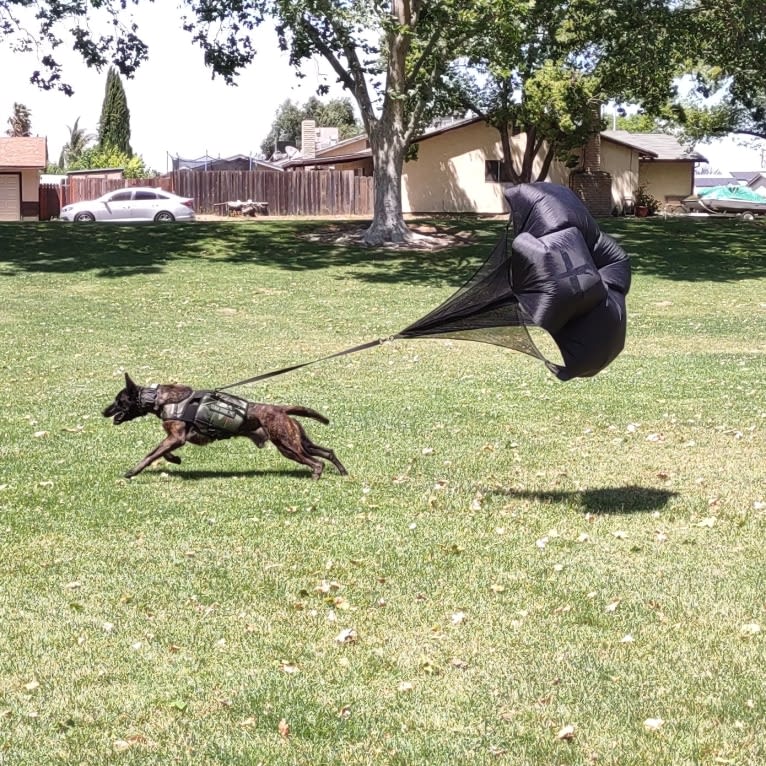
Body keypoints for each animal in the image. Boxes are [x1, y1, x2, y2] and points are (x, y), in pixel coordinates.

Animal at [102, 372, 348, 480]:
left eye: (118, 401)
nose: (103, 411)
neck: (158, 399)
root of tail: (280, 409)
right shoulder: (174, 439)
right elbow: (161, 452)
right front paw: (175, 459)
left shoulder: (176, 437)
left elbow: (151, 454)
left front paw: (132, 472)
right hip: (297, 442)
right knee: (327, 451)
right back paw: (343, 471)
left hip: (288, 446)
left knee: (317, 463)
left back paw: (315, 477)